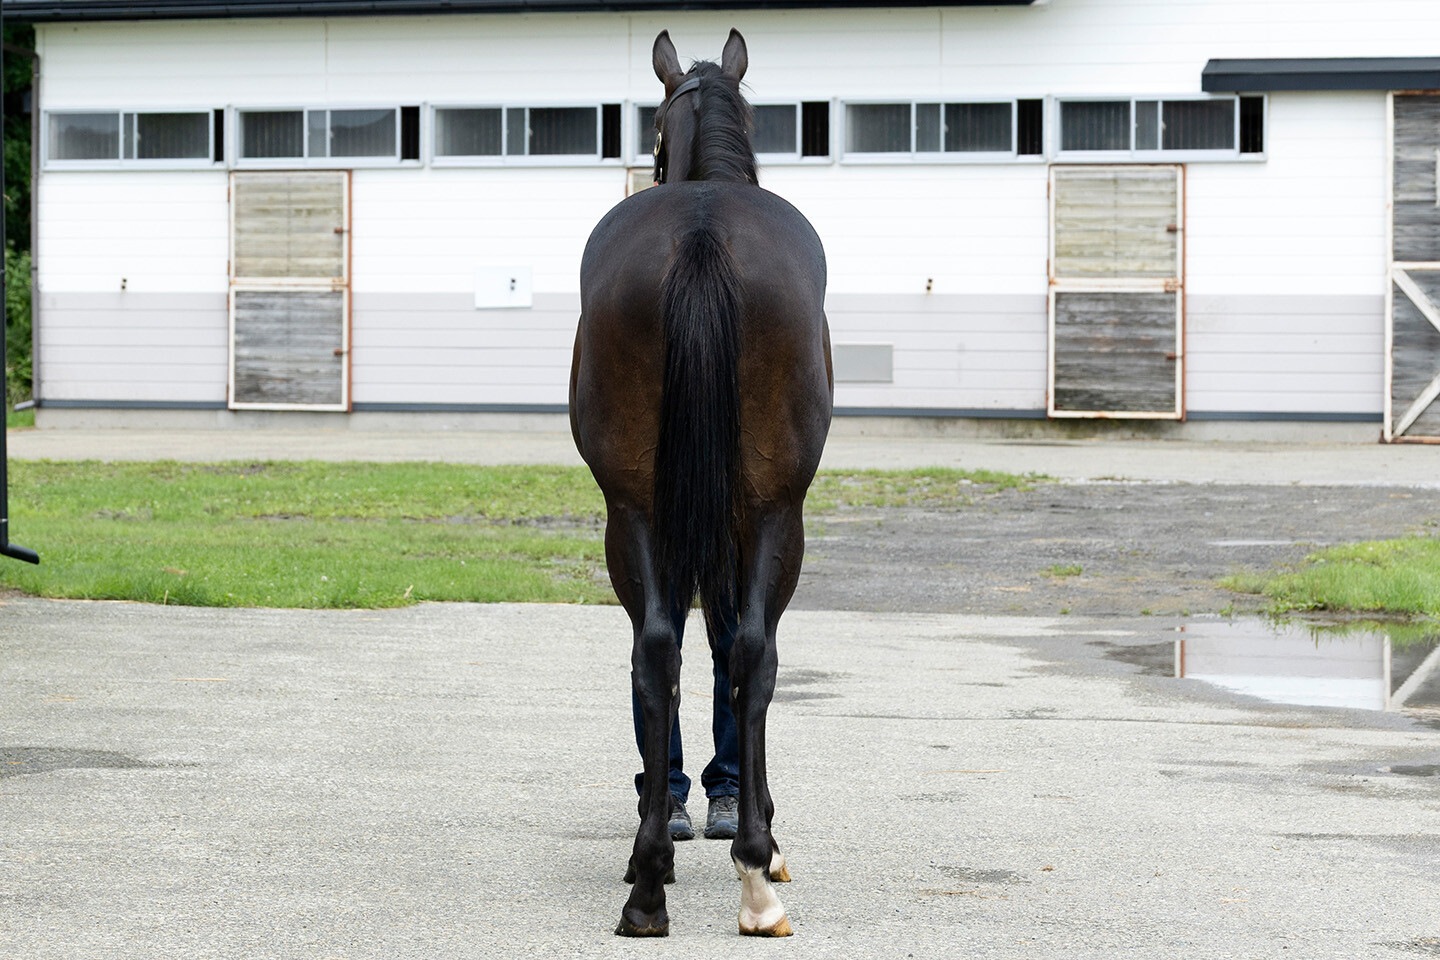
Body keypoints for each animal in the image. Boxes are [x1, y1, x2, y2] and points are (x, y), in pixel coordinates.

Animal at [569, 28, 832, 938]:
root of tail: (701, 231)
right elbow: (735, 653)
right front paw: (762, 835)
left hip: (636, 511)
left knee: (658, 647)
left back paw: (649, 880)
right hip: (773, 514)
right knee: (747, 648)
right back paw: (750, 873)